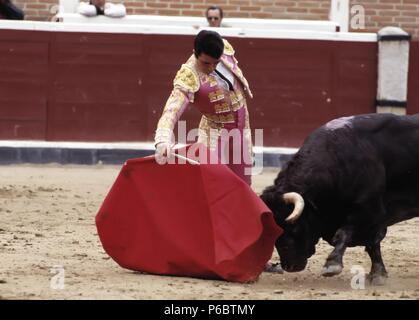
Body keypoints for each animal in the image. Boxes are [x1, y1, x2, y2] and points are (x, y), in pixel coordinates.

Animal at [260, 114, 419, 284]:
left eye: (293, 228)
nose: (289, 266)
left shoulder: (369, 211)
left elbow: (345, 234)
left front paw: (332, 265)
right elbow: (372, 245)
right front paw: (377, 274)